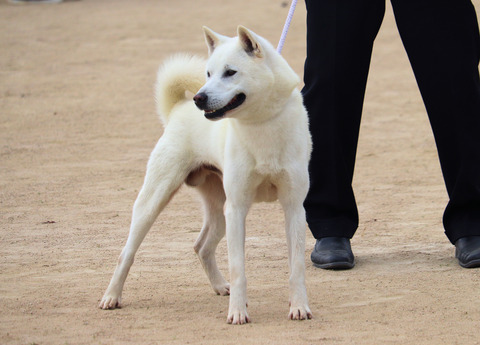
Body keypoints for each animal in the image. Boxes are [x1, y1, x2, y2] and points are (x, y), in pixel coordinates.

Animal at [99, 26, 314, 322]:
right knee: (126, 253)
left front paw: (299, 306)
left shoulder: (293, 207)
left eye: (230, 72)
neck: (260, 123)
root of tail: (178, 108)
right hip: (155, 202)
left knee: (201, 246)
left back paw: (220, 286)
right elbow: (239, 269)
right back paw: (111, 297)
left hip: (219, 213)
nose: (199, 98)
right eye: (209, 73)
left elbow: (297, 267)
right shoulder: (237, 209)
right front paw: (237, 313)